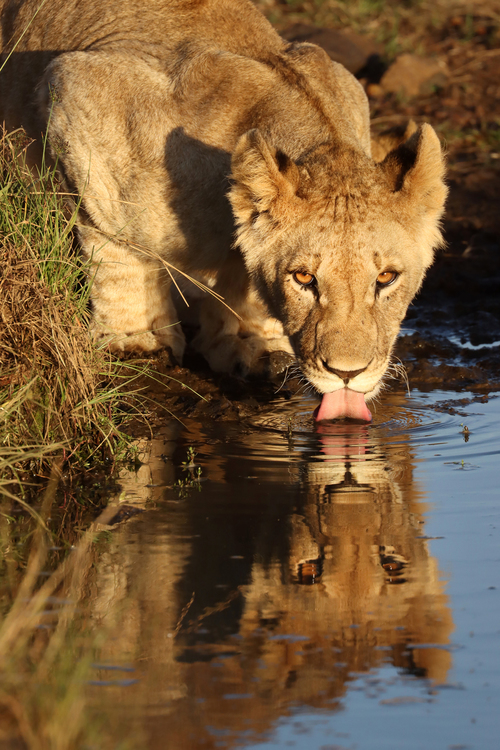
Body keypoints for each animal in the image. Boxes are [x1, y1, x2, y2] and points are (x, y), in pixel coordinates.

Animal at [0, 0, 446, 424]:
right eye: (304, 278)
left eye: (386, 278)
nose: (348, 374)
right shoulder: (75, 97)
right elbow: (118, 253)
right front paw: (138, 341)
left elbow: (247, 282)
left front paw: (257, 345)